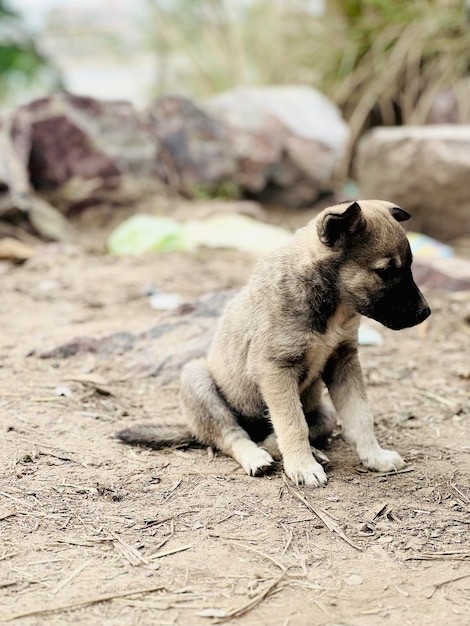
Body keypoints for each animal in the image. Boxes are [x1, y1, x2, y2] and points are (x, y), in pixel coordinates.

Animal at [117, 199, 430, 482]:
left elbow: (360, 415)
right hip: (197, 379)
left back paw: (310, 453)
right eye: (385, 271)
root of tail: (191, 428)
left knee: (273, 434)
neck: (330, 307)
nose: (425, 312)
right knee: (233, 435)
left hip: (325, 414)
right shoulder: (276, 369)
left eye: (410, 267)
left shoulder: (344, 360)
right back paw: (258, 457)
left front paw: (375, 457)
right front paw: (302, 468)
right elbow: (292, 424)